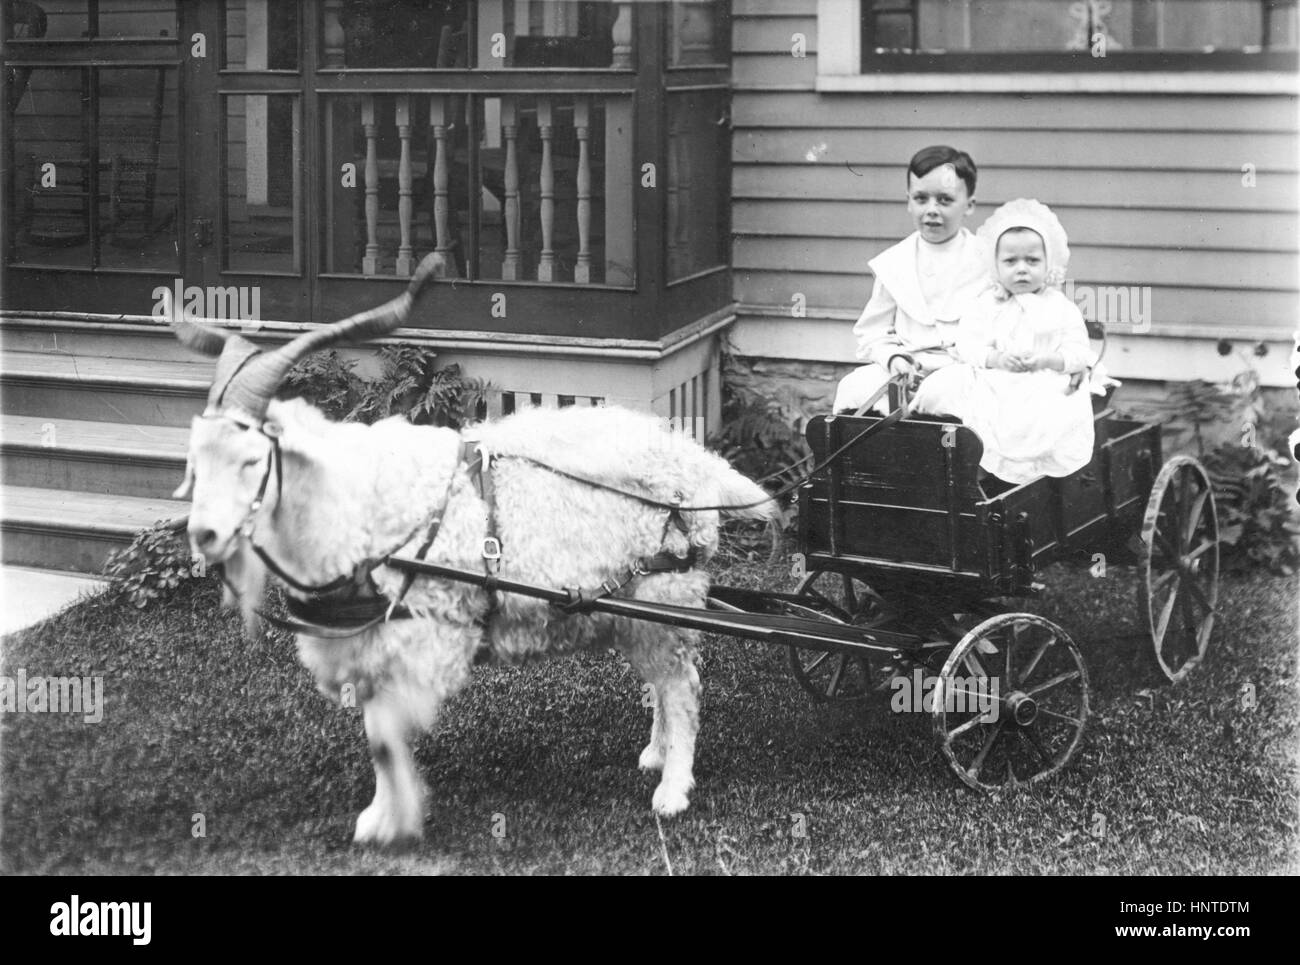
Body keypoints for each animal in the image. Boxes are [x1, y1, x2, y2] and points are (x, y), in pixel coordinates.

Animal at [176, 254, 774, 847]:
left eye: (253, 459)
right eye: (196, 460)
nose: (204, 536)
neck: (360, 507)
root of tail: (696, 460)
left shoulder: (421, 640)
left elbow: (386, 741)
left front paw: (396, 821)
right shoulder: (371, 649)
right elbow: (375, 737)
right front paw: (381, 817)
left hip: (664, 593)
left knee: (681, 687)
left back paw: (673, 791)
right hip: (636, 607)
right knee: (661, 685)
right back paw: (655, 752)